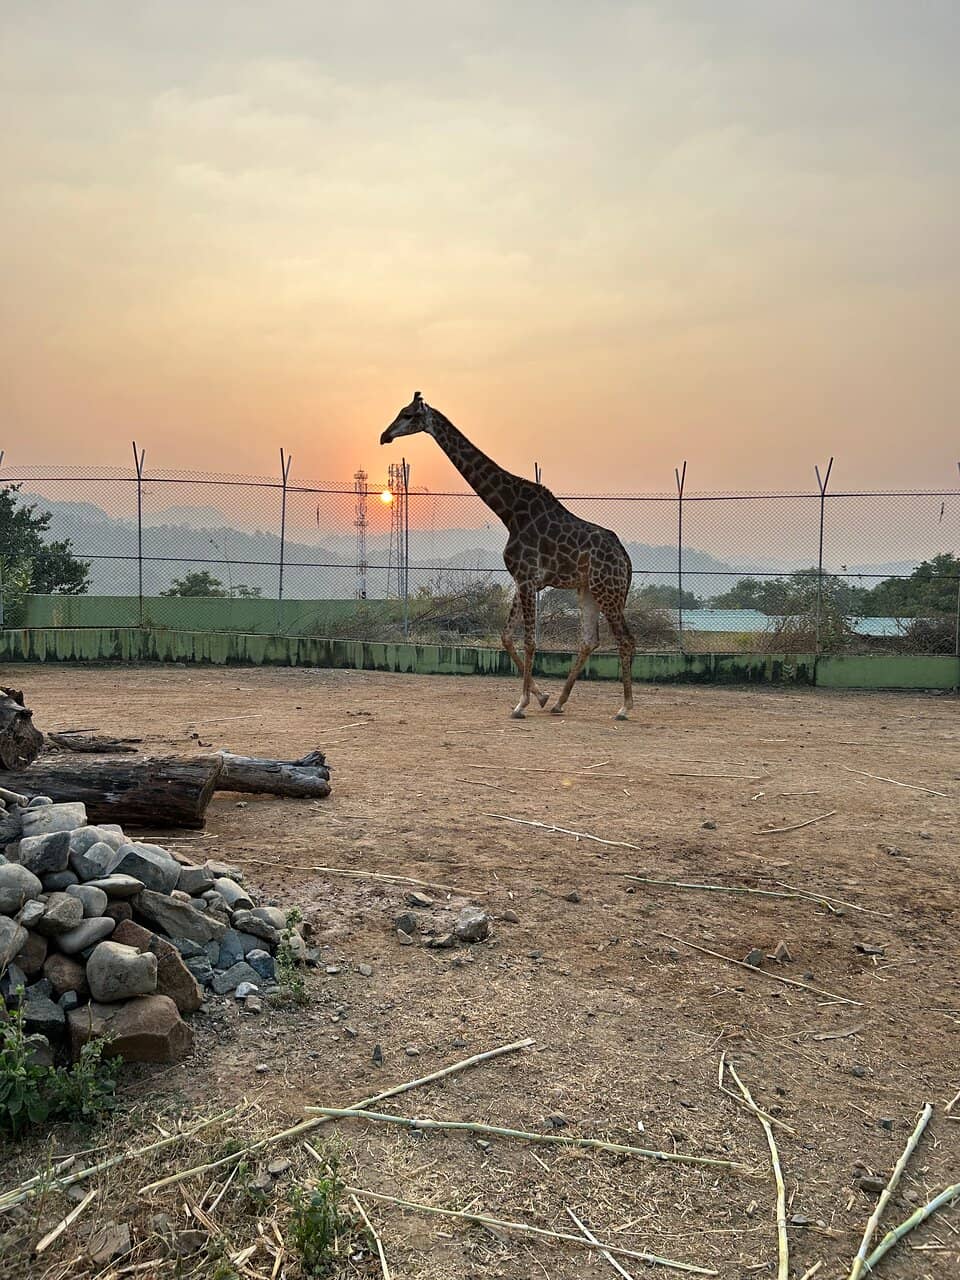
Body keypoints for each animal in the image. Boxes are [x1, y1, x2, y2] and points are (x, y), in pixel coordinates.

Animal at [381, 393, 636, 720]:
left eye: (408, 415)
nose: (384, 436)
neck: (509, 511)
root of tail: (625, 559)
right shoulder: (521, 580)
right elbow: (505, 637)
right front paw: (541, 697)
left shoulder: (527, 578)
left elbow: (529, 640)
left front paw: (522, 703)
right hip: (588, 590)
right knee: (590, 640)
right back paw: (559, 702)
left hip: (608, 589)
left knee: (625, 640)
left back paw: (624, 707)